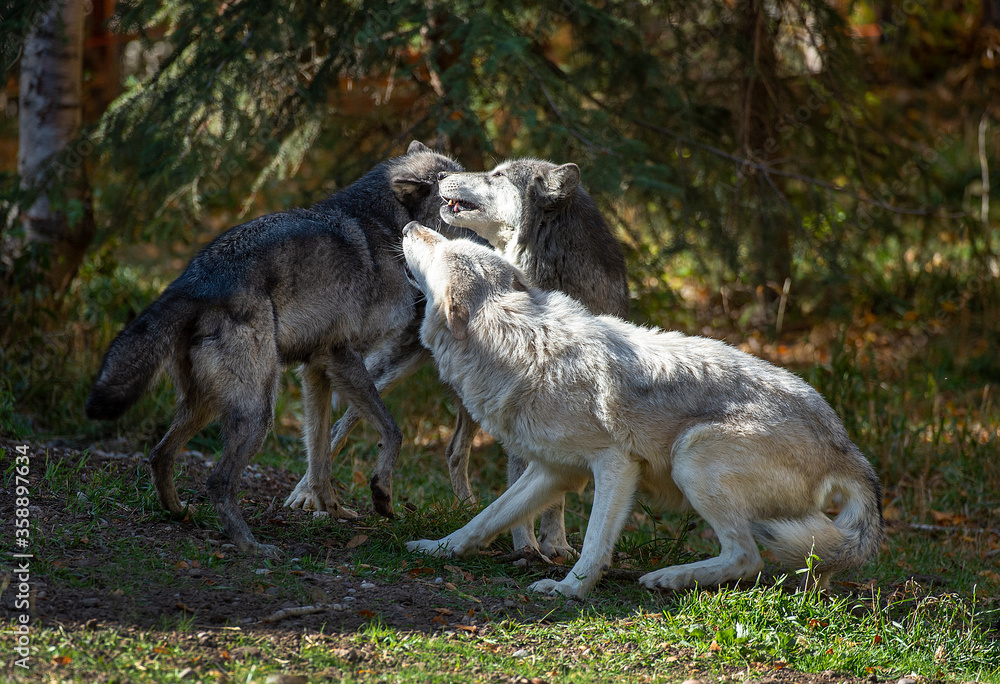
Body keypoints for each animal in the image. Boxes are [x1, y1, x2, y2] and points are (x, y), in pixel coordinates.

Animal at [86, 142, 462, 556]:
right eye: (451, 193)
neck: (383, 228)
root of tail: (195, 281)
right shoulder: (342, 357)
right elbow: (392, 432)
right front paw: (381, 494)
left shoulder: (316, 370)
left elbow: (320, 454)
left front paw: (331, 507)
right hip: (258, 413)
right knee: (217, 481)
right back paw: (252, 547)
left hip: (208, 406)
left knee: (160, 454)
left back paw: (179, 513)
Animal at [402, 224, 884, 599]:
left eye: (439, 247)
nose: (408, 226)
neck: (525, 347)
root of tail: (845, 445)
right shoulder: (552, 471)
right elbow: (485, 519)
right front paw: (436, 548)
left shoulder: (616, 465)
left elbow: (594, 542)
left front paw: (568, 589)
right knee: (809, 554)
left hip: (692, 458)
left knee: (748, 558)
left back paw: (669, 578)